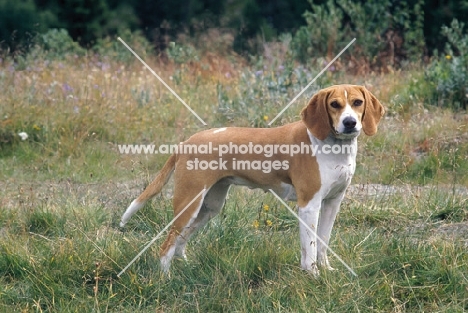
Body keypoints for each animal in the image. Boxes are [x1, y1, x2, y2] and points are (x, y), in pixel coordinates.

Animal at [119, 84, 384, 274]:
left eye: (357, 103)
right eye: (334, 105)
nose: (349, 122)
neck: (332, 146)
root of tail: (186, 143)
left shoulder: (332, 203)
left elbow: (323, 241)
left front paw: (326, 270)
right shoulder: (309, 205)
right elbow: (309, 247)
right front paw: (313, 275)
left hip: (208, 208)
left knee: (180, 243)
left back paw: (185, 266)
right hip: (189, 204)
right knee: (166, 247)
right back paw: (165, 279)